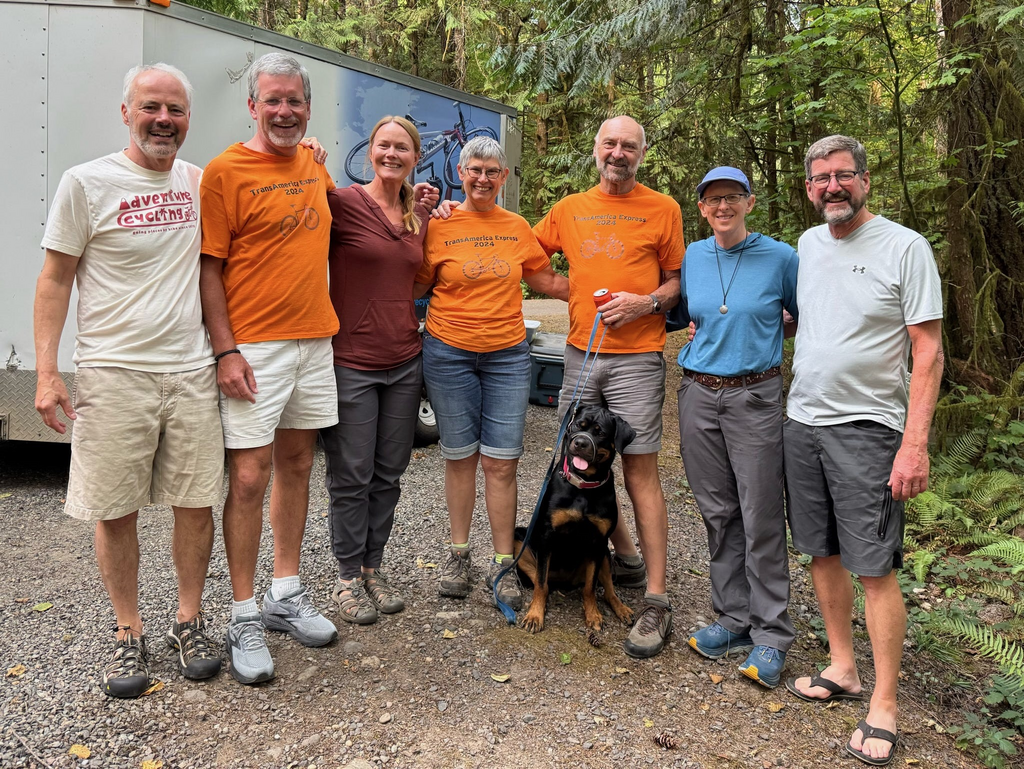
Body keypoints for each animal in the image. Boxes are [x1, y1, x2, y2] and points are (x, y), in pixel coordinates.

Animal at [514, 404, 636, 634]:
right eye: (580, 425)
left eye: (600, 432)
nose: (580, 443)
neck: (584, 487)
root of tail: (564, 582)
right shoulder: (547, 535)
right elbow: (541, 583)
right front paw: (535, 615)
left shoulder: (598, 541)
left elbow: (590, 587)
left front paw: (593, 614)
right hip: (520, 539)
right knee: (543, 582)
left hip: (605, 554)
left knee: (607, 590)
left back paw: (622, 609)